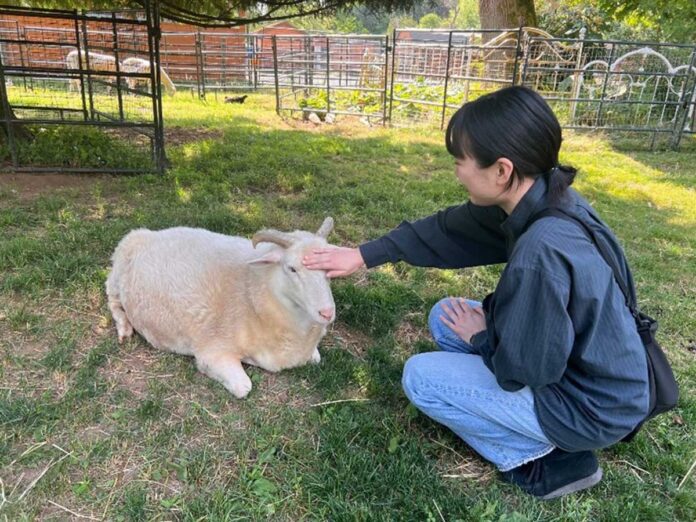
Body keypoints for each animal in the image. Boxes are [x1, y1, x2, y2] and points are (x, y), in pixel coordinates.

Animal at [104, 217, 338, 396]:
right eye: (291, 268)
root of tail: (147, 233)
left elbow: (316, 358)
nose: (327, 313)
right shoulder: (212, 352)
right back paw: (124, 328)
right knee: (112, 299)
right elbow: (244, 387)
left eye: (329, 269)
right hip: (118, 272)